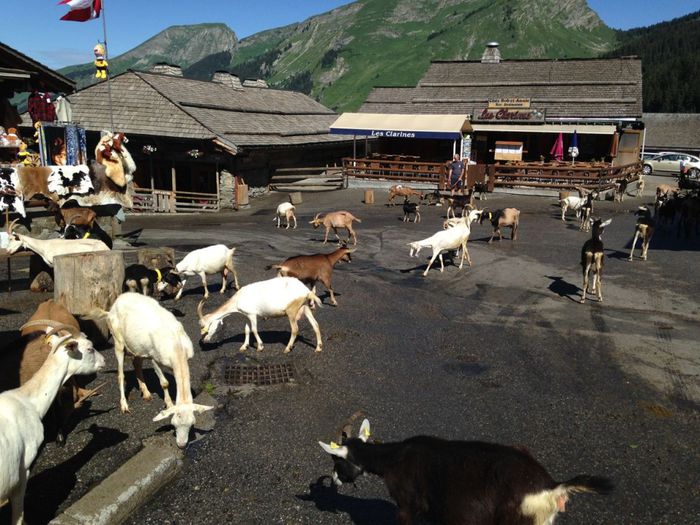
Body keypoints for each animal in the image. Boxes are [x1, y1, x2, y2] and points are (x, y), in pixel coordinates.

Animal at [88, 292, 213, 448]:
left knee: (136, 363)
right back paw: (124, 405)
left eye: (192, 424)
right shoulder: (155, 358)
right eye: (174, 424)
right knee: (121, 374)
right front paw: (169, 404)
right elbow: (164, 383)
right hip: (118, 339)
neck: (176, 346)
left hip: (139, 347)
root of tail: (113, 306)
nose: (181, 445)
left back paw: (146, 393)